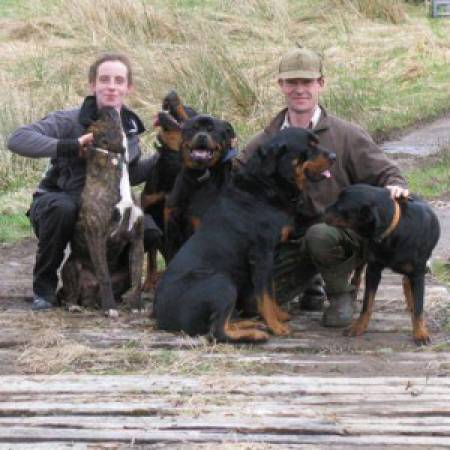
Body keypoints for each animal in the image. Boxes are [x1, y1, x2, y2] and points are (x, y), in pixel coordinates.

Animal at [60, 106, 143, 316]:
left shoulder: (137, 238)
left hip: (123, 273)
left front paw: (137, 306)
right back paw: (75, 305)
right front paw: (110, 308)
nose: (106, 107)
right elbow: (104, 275)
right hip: (71, 266)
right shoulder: (96, 236)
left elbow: (138, 278)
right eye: (102, 121)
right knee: (69, 294)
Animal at [155, 128, 334, 342]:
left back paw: (250, 324)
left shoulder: (270, 256)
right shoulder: (262, 255)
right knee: (218, 332)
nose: (334, 156)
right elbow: (265, 296)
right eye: (310, 146)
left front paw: (279, 316)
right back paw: (255, 333)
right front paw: (276, 326)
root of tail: (162, 318)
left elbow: (270, 291)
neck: (268, 184)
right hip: (222, 282)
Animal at [326, 185, 442, 346]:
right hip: (364, 250)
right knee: (357, 275)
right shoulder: (373, 270)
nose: (323, 210)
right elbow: (367, 303)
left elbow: (419, 308)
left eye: (340, 206)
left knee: (406, 282)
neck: (395, 230)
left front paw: (420, 333)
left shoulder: (418, 274)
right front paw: (359, 326)